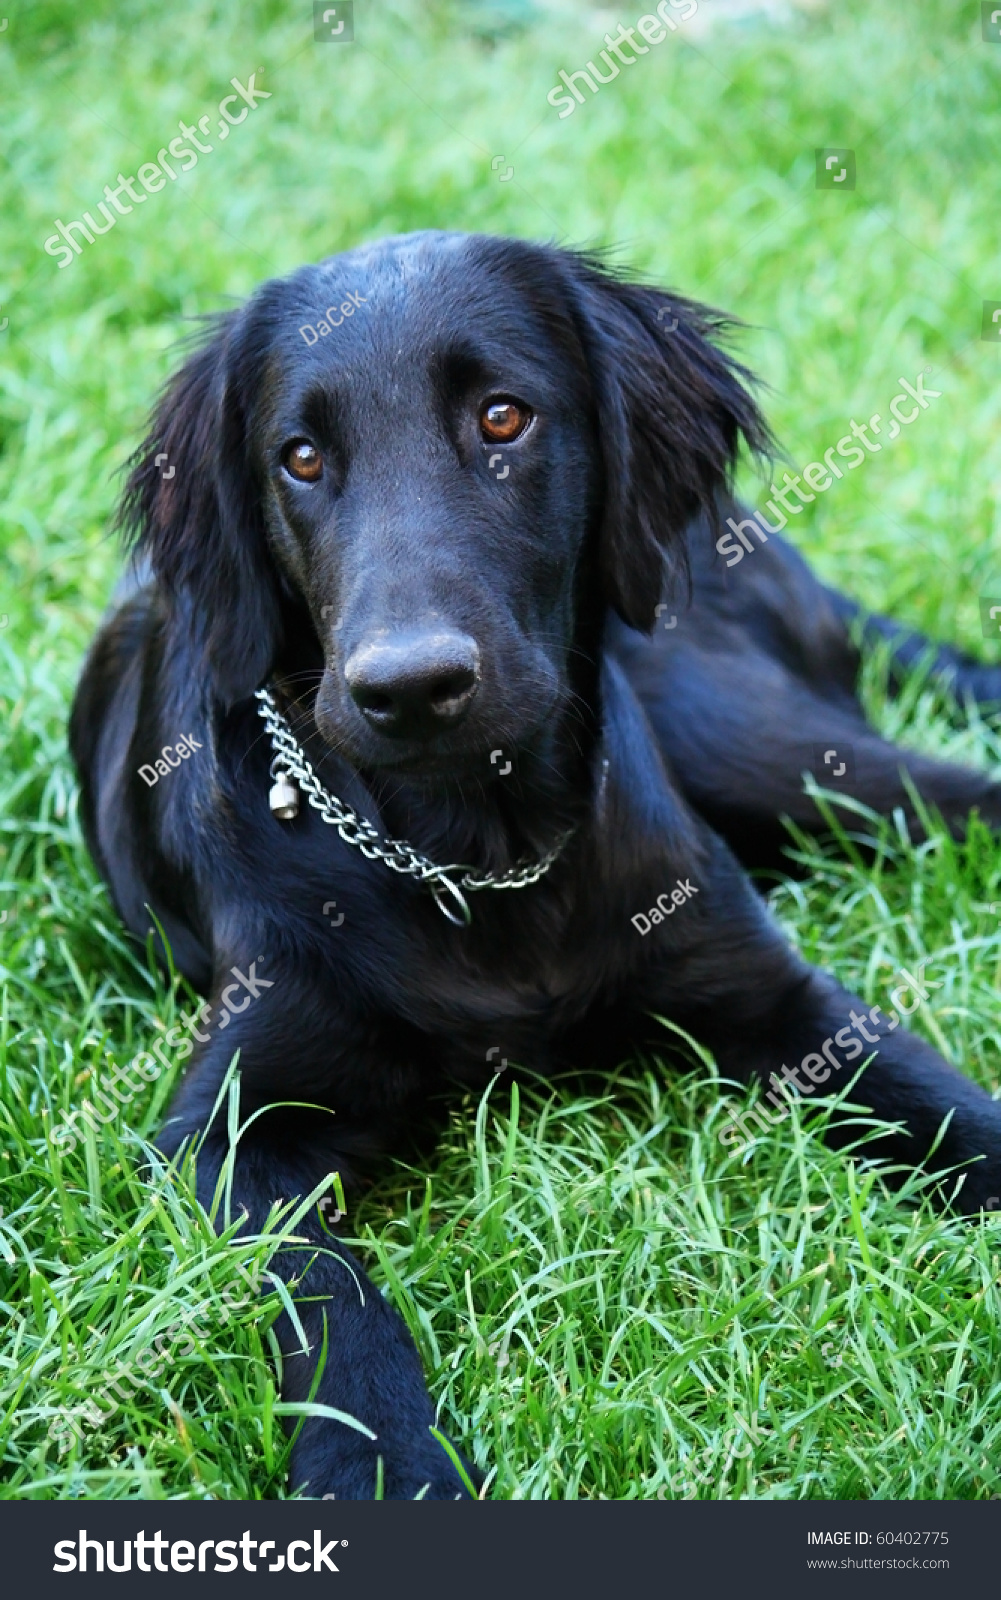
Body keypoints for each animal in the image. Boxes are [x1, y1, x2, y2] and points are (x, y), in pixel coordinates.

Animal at [68, 228, 997, 1497]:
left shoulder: (778, 998)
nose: (409, 687)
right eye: (299, 457)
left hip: (782, 757)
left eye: (502, 417)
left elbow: (947, 1107)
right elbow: (331, 1297)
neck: (475, 855)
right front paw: (387, 1467)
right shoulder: (226, 1134)